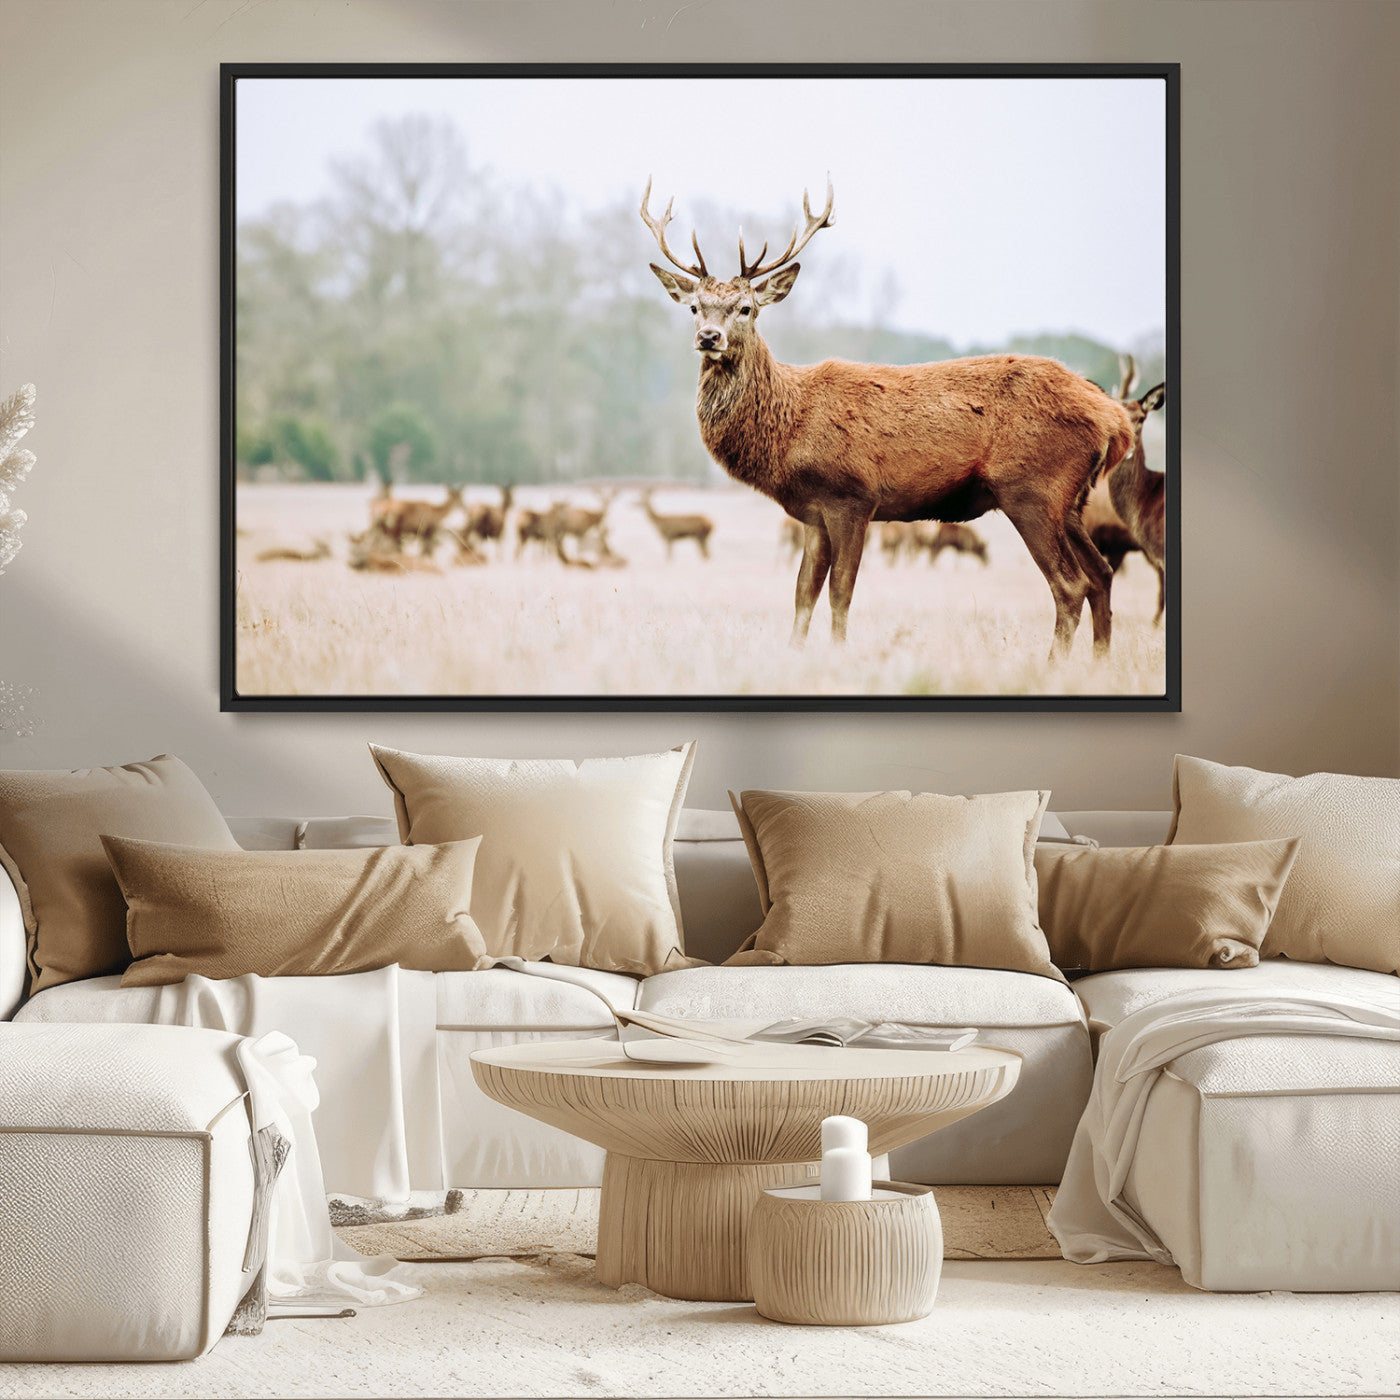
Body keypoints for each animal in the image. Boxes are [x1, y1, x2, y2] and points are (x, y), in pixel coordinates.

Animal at [642, 179, 1135, 657]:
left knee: (1070, 584)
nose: (709, 337)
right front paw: (793, 654)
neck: (789, 429)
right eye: (694, 307)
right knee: (1102, 574)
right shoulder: (812, 512)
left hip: (1032, 488)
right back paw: (1099, 663)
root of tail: (1116, 420)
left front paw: (840, 653)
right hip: (1071, 501)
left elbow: (840, 592)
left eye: (746, 308)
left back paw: (1055, 667)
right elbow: (803, 594)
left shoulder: (852, 496)